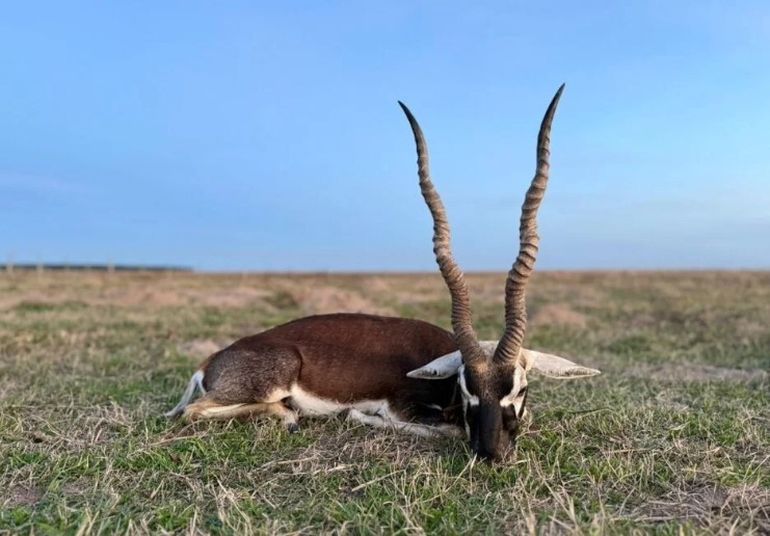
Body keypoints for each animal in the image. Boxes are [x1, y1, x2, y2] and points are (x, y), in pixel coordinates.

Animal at [166, 85, 600, 460]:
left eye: (520, 388)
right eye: (466, 388)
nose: (490, 452)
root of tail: (212, 361)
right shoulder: (403, 408)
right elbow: (441, 428)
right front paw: (359, 415)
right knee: (193, 412)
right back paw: (289, 417)